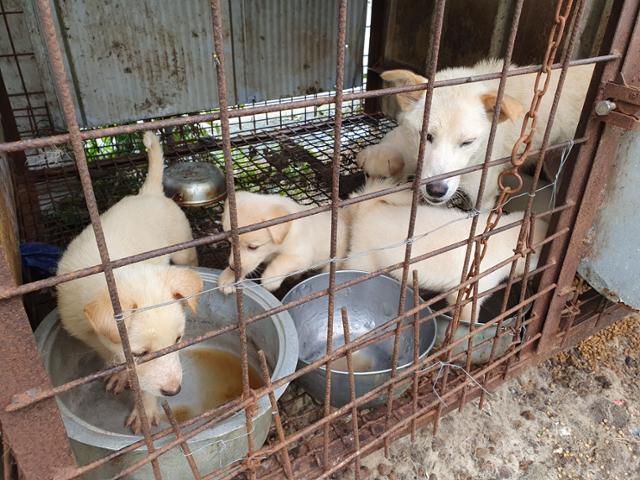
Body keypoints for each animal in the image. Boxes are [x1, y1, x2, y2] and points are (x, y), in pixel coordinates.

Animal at [58, 131, 202, 436]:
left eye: (178, 340)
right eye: (140, 352)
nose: (174, 391)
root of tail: (149, 193)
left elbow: (144, 385)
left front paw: (145, 409)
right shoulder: (83, 330)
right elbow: (113, 356)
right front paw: (121, 373)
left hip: (183, 249)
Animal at [220, 191, 350, 292]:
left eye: (253, 247)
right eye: (230, 243)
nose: (233, 268)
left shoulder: (301, 256)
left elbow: (281, 262)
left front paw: (270, 279)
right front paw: (228, 277)